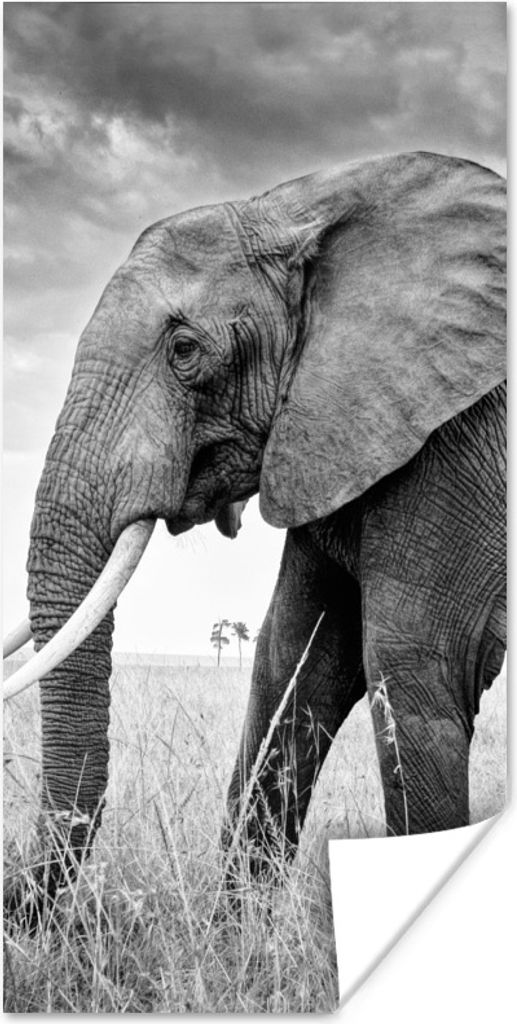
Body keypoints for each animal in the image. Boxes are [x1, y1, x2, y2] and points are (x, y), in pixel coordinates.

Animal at [4, 151, 505, 918]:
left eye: (184, 349)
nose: (19, 902)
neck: (304, 207)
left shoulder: (456, 438)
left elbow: (415, 663)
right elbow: (293, 659)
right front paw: (235, 934)